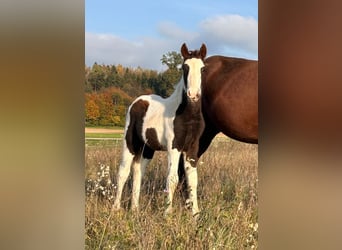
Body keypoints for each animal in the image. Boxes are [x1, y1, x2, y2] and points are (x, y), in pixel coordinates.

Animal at [113, 43, 207, 215]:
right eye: (184, 67)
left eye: (203, 68)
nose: (193, 95)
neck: (187, 115)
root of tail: (137, 101)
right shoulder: (174, 147)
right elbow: (172, 179)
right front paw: (167, 213)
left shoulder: (192, 148)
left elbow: (193, 180)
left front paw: (196, 214)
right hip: (130, 143)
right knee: (123, 172)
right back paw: (115, 208)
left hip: (147, 148)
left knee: (138, 172)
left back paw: (135, 209)